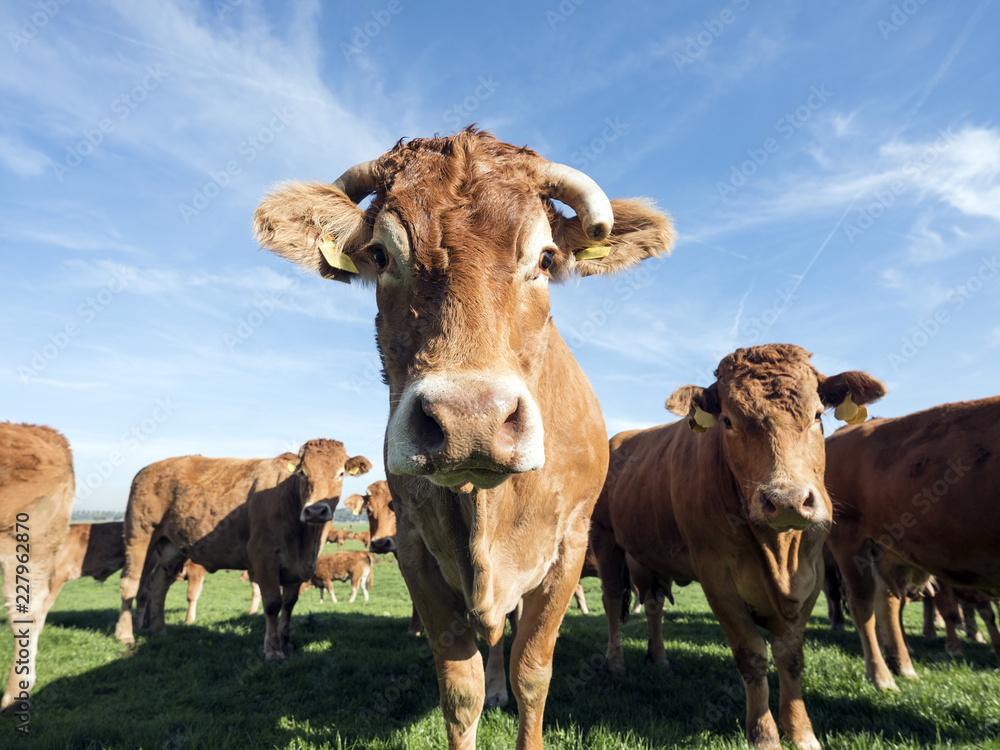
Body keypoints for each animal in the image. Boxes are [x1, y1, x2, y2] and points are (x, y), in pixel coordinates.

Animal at [114, 438, 372, 660]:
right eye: (302, 472)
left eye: (340, 473)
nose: (316, 511)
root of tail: (148, 469)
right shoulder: (263, 557)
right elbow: (273, 603)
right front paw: (273, 649)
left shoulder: (298, 566)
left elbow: (289, 604)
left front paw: (287, 643)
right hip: (139, 536)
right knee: (131, 584)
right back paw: (125, 635)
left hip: (173, 547)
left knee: (160, 583)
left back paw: (159, 630)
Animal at [254, 129, 676, 750]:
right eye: (381, 255)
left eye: (545, 258)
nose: (469, 419)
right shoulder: (413, 548)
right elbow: (460, 688)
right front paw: (482, 690)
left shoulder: (571, 544)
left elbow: (533, 671)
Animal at [588, 346, 888, 750]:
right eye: (728, 421)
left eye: (818, 416)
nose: (788, 500)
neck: (779, 553)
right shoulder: (717, 578)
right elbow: (752, 655)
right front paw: (764, 734)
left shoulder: (812, 574)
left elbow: (791, 656)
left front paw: (801, 731)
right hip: (605, 539)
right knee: (610, 602)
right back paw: (616, 662)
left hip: (646, 558)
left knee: (652, 605)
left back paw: (659, 657)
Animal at [824, 400, 996, 692]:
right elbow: (951, 611)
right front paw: (955, 647)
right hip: (848, 543)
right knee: (859, 605)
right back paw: (882, 676)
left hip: (885, 551)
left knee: (887, 603)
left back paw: (903, 664)